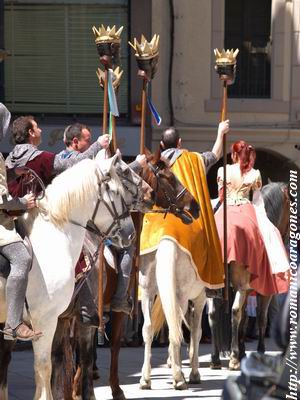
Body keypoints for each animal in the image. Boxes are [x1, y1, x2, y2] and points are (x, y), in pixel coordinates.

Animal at [0, 152, 149, 398]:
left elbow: (58, 364)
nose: (131, 234)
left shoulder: (60, 319)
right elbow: (46, 368)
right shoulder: (46, 319)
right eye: (118, 188)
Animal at [50, 148, 199, 400]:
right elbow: (111, 347)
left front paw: (78, 388)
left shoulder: (82, 315)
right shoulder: (117, 310)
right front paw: (115, 388)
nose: (194, 206)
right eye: (168, 176)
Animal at [139, 239, 207, 390]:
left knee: (149, 329)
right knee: (175, 330)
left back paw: (146, 379)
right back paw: (178, 378)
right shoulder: (200, 297)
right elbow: (196, 332)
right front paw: (194, 373)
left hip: (148, 290)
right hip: (181, 296)